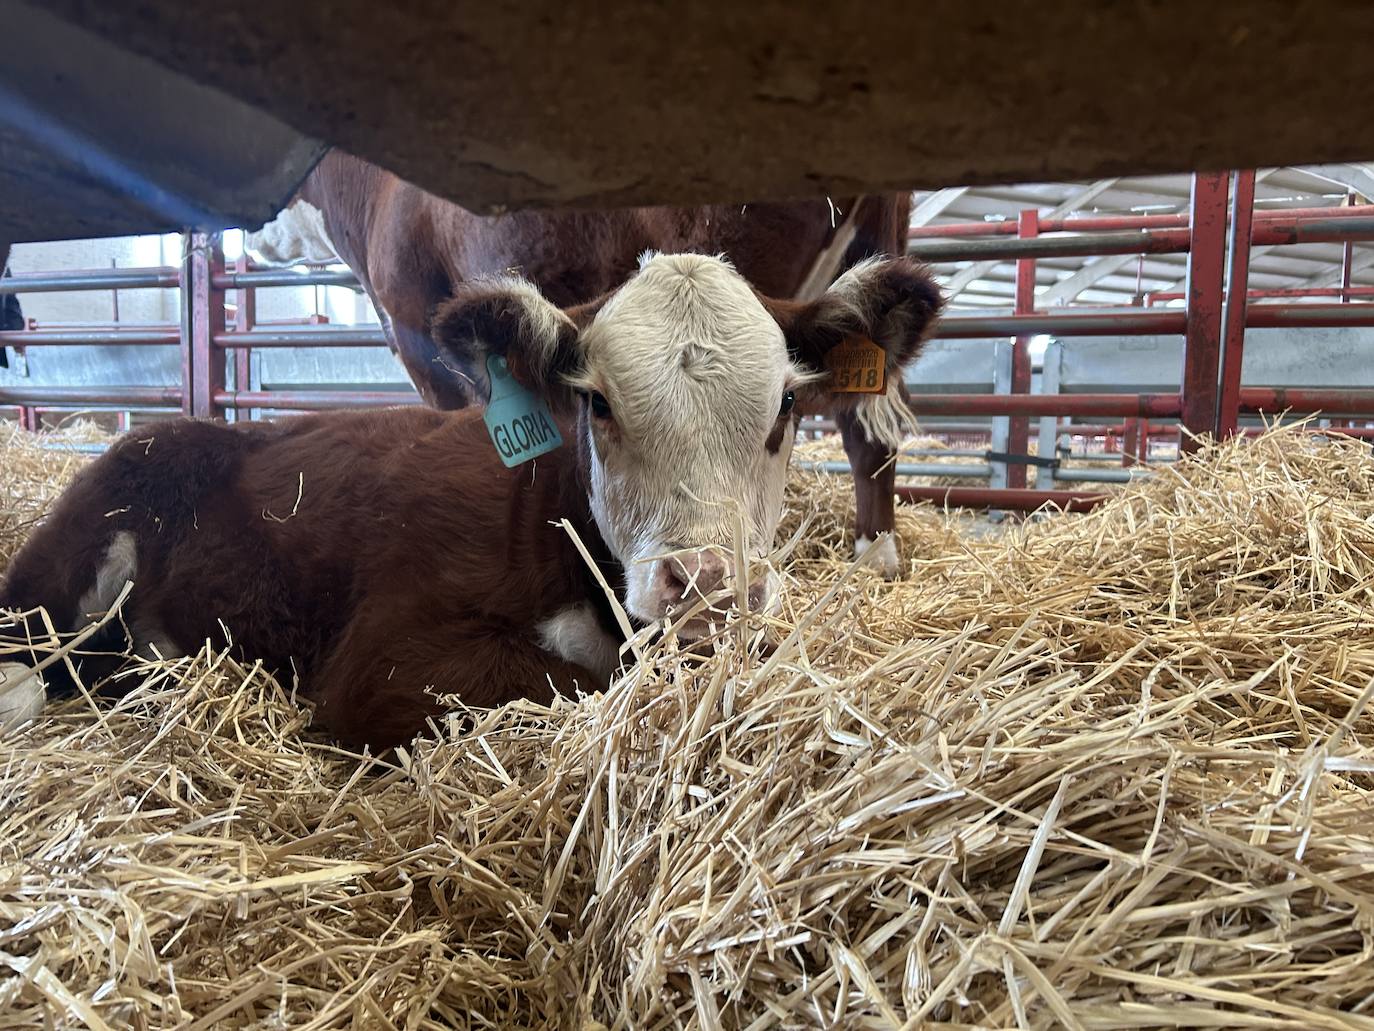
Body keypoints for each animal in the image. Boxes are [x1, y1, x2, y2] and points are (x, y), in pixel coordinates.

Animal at [0, 253, 942, 748]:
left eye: (785, 405)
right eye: (599, 404)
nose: (704, 580)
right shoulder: (386, 656)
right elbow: (571, 685)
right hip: (69, 561)